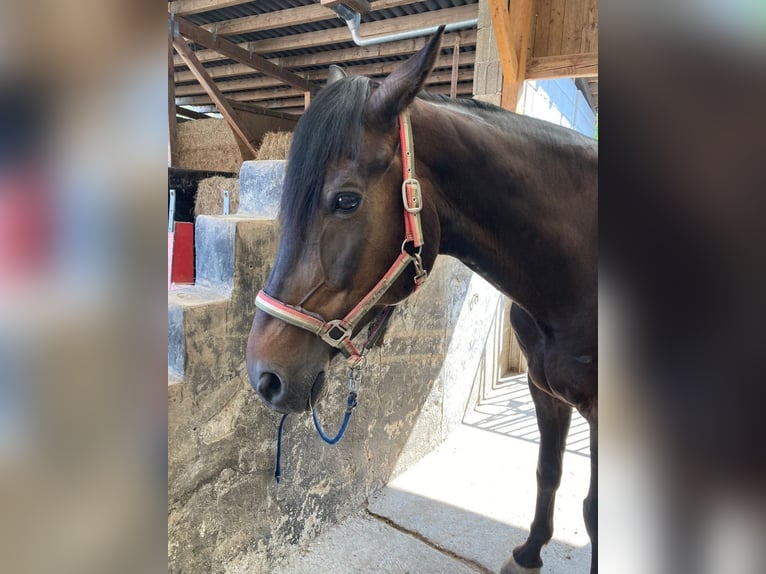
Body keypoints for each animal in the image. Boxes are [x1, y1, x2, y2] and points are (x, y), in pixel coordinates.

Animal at [246, 28, 600, 574]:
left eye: (345, 200)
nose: (265, 376)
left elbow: (594, 511)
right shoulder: (544, 391)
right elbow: (548, 470)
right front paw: (529, 551)